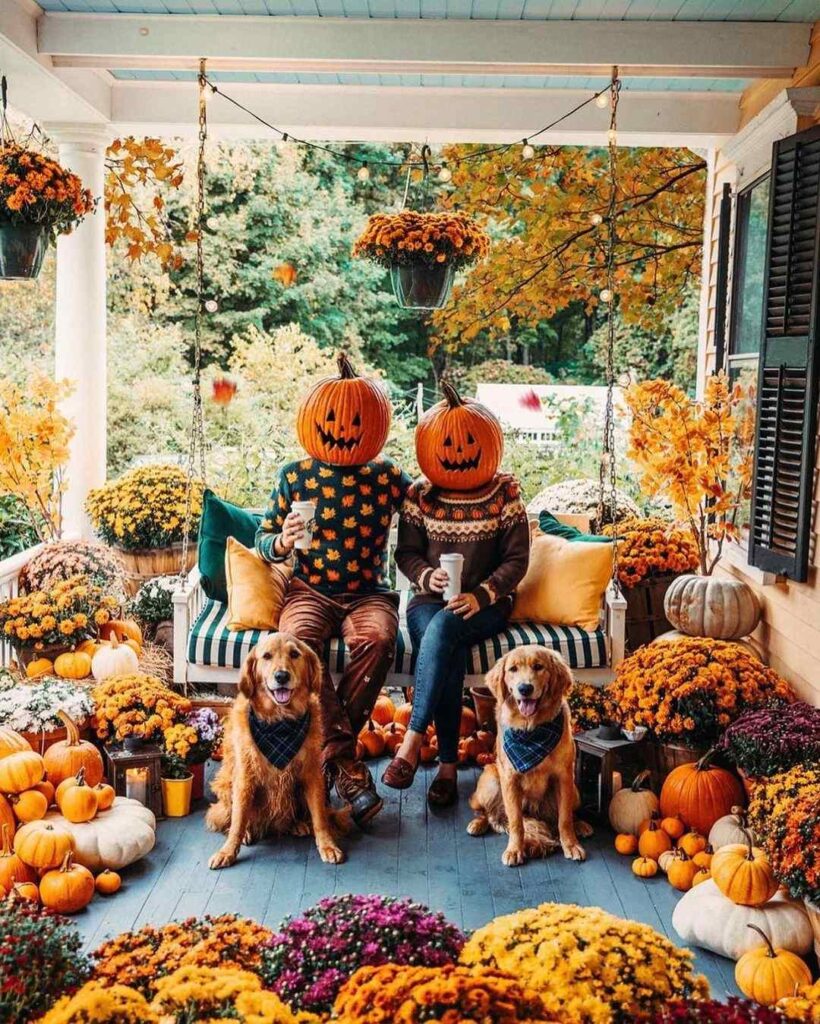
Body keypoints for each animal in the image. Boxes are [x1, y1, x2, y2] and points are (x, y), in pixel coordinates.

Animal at [207, 634, 346, 868]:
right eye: (266, 656)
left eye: (294, 654)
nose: (281, 676)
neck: (280, 722)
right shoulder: (245, 777)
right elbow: (238, 820)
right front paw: (228, 851)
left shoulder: (312, 774)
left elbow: (319, 817)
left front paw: (327, 845)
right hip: (226, 784)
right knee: (233, 817)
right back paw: (248, 833)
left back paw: (298, 824)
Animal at [466, 647, 589, 864]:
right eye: (513, 669)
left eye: (538, 667)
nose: (525, 688)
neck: (531, 730)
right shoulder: (510, 779)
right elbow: (516, 821)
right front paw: (515, 850)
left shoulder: (564, 777)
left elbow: (564, 818)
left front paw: (571, 844)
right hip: (490, 782)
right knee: (487, 812)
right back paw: (477, 824)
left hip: (575, 791)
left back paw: (581, 825)